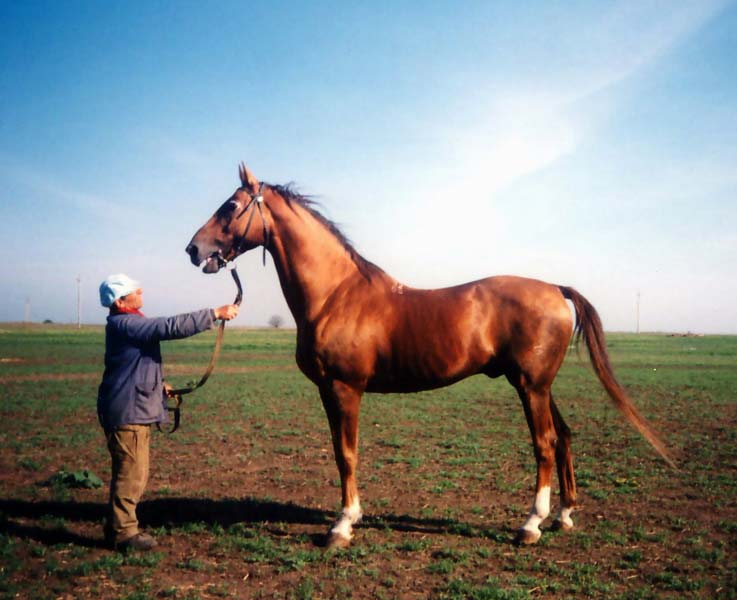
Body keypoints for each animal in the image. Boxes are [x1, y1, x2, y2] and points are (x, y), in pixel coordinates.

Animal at [185, 162, 672, 548]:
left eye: (231, 205)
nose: (194, 249)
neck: (336, 294)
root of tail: (555, 288)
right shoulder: (327, 391)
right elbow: (340, 451)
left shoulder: (346, 389)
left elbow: (347, 454)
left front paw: (342, 525)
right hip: (537, 385)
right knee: (565, 436)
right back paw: (564, 516)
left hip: (531, 387)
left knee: (545, 445)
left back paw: (531, 524)